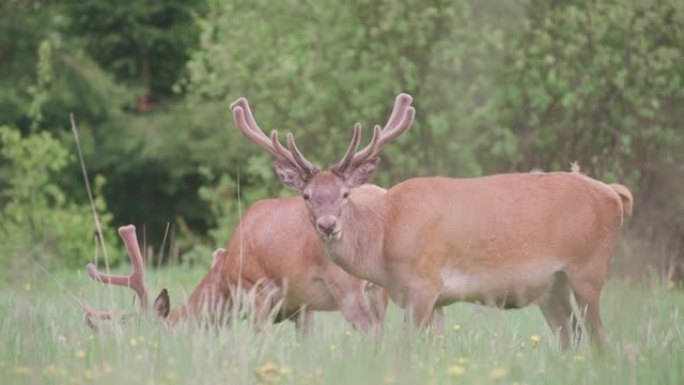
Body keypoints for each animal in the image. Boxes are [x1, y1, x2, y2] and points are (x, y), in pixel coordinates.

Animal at [231, 92, 636, 348]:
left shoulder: (424, 282)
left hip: (589, 268)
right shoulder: (436, 298)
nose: (328, 225)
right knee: (573, 337)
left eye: (345, 194)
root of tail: (615, 195)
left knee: (602, 338)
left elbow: (406, 346)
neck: (384, 238)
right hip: (552, 286)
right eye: (306, 196)